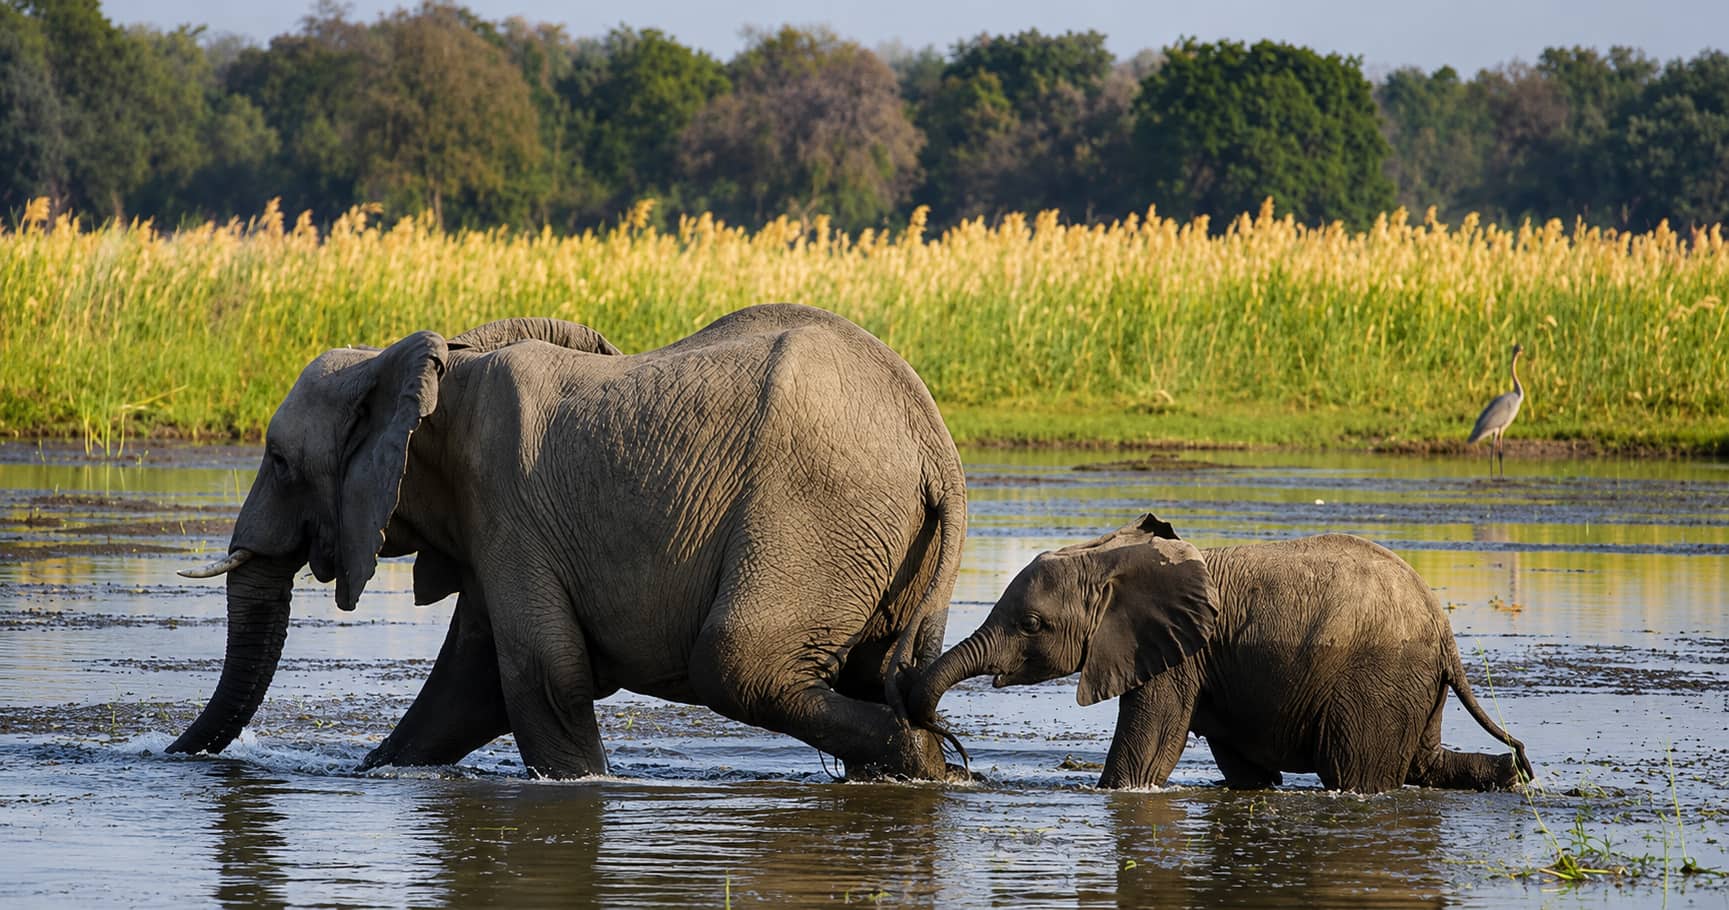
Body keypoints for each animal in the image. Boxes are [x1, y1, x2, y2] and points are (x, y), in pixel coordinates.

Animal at [169, 304, 968, 780]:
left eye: (278, 461)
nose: (170, 757)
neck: (419, 365)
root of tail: (936, 447)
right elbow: (467, 687)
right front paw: (374, 772)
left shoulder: (506, 504)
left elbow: (540, 676)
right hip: (882, 547)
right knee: (869, 675)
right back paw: (925, 767)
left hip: (815, 516)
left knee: (736, 664)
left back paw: (921, 758)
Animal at [909, 514, 1533, 793]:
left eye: (1032, 625)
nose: (963, 767)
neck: (1111, 557)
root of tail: (1443, 628)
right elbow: (1247, 771)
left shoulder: (1176, 657)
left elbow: (1143, 760)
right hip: (1412, 682)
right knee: (1425, 764)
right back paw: (1513, 776)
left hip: (1379, 677)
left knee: (1356, 772)